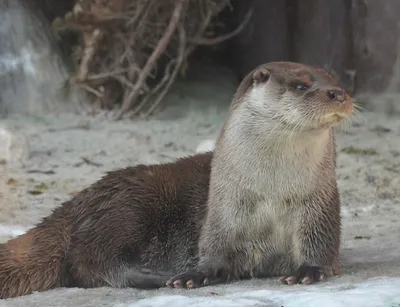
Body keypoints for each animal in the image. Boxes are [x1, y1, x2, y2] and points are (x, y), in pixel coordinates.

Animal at [0, 61, 354, 300]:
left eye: (335, 80)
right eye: (301, 85)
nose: (337, 94)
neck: (271, 193)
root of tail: (75, 203)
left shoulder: (319, 207)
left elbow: (321, 248)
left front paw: (309, 271)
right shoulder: (221, 212)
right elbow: (213, 253)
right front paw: (193, 276)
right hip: (127, 209)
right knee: (86, 262)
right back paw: (155, 275)